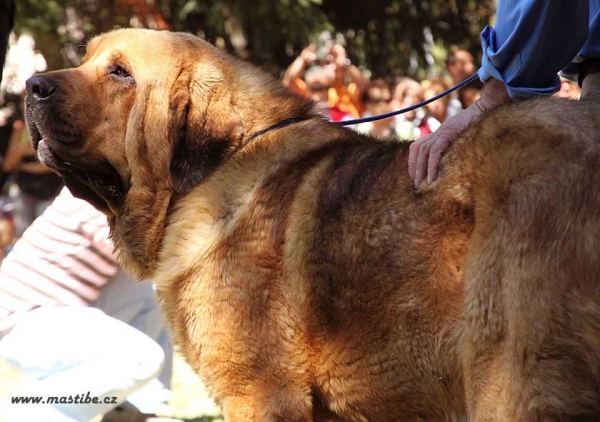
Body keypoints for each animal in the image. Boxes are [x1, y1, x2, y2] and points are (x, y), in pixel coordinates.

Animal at [25, 28, 600, 420]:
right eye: (86, 59)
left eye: (120, 73)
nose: (32, 85)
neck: (221, 163)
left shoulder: (259, 395)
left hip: (507, 370)